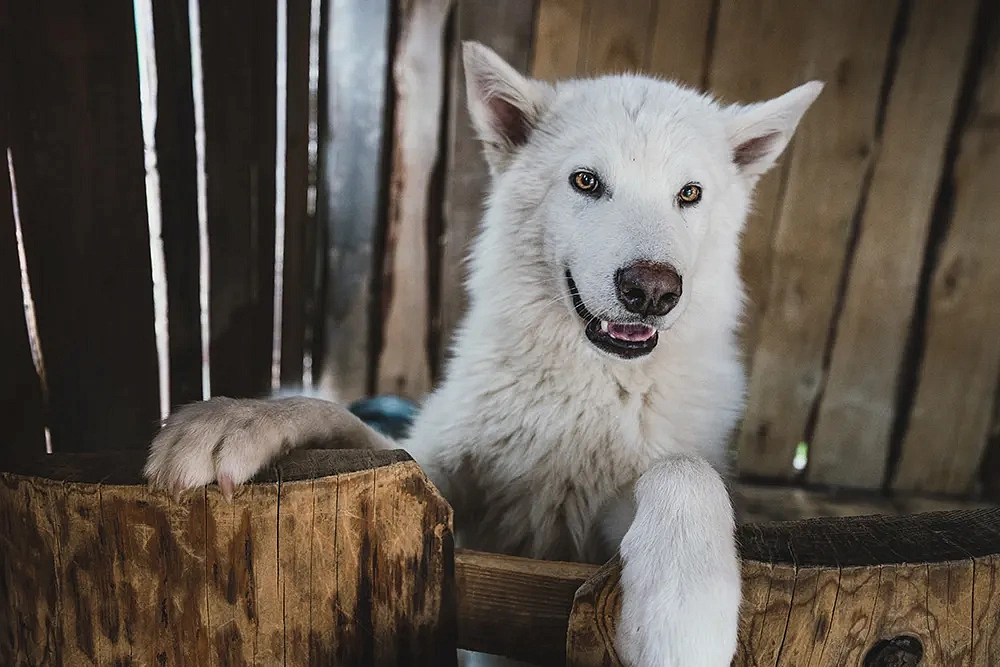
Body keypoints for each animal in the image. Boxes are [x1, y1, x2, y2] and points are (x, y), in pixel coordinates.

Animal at [146, 43, 820, 667]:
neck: (585, 387)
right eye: (586, 181)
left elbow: (683, 470)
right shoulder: (430, 487)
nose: (652, 291)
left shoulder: (595, 534)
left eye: (689, 193)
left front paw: (685, 608)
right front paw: (243, 417)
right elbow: (332, 414)